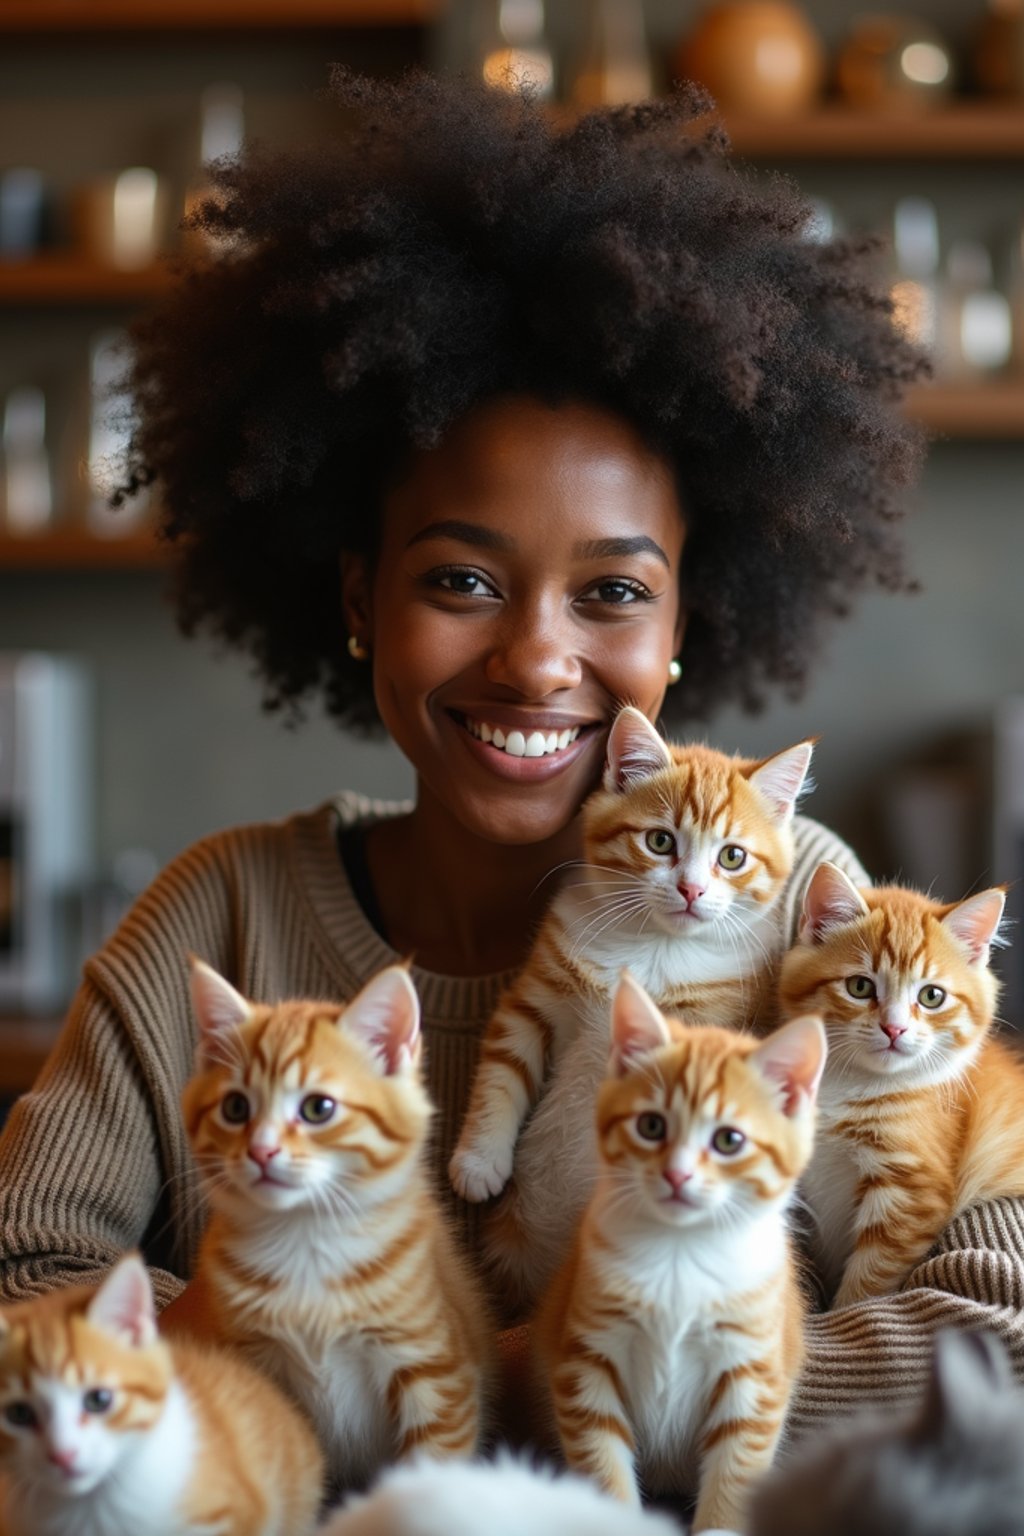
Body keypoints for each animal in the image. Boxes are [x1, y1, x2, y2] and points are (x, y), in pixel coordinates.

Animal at [178, 964, 494, 1492]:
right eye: (236, 1108)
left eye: (317, 1109)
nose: (260, 1151)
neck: (305, 1238)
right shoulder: (255, 1365)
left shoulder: (435, 1371)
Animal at [451, 706, 810, 1308]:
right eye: (660, 841)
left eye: (732, 856)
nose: (691, 890)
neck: (656, 950)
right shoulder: (537, 998)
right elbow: (503, 1069)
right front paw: (478, 1161)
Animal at [537, 976, 822, 1529]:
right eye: (651, 1126)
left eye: (729, 1140)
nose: (676, 1175)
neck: (679, 1252)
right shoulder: (585, 1360)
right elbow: (602, 1464)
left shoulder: (753, 1374)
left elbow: (734, 1478)